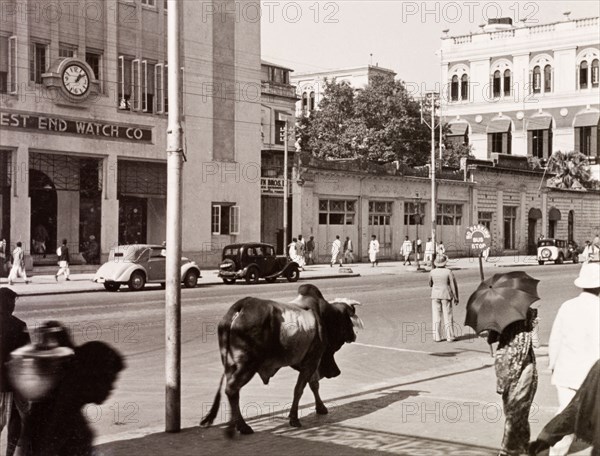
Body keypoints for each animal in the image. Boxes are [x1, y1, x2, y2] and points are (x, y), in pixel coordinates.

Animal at [200, 284, 360, 436]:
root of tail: (242, 306)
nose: (354, 335)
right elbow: (300, 389)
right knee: (232, 390)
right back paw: (243, 427)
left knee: (234, 392)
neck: (325, 316)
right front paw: (294, 418)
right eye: (348, 320)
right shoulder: (313, 360)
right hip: (247, 365)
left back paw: (237, 424)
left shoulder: (306, 362)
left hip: (229, 365)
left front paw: (320, 408)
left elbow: (313, 385)